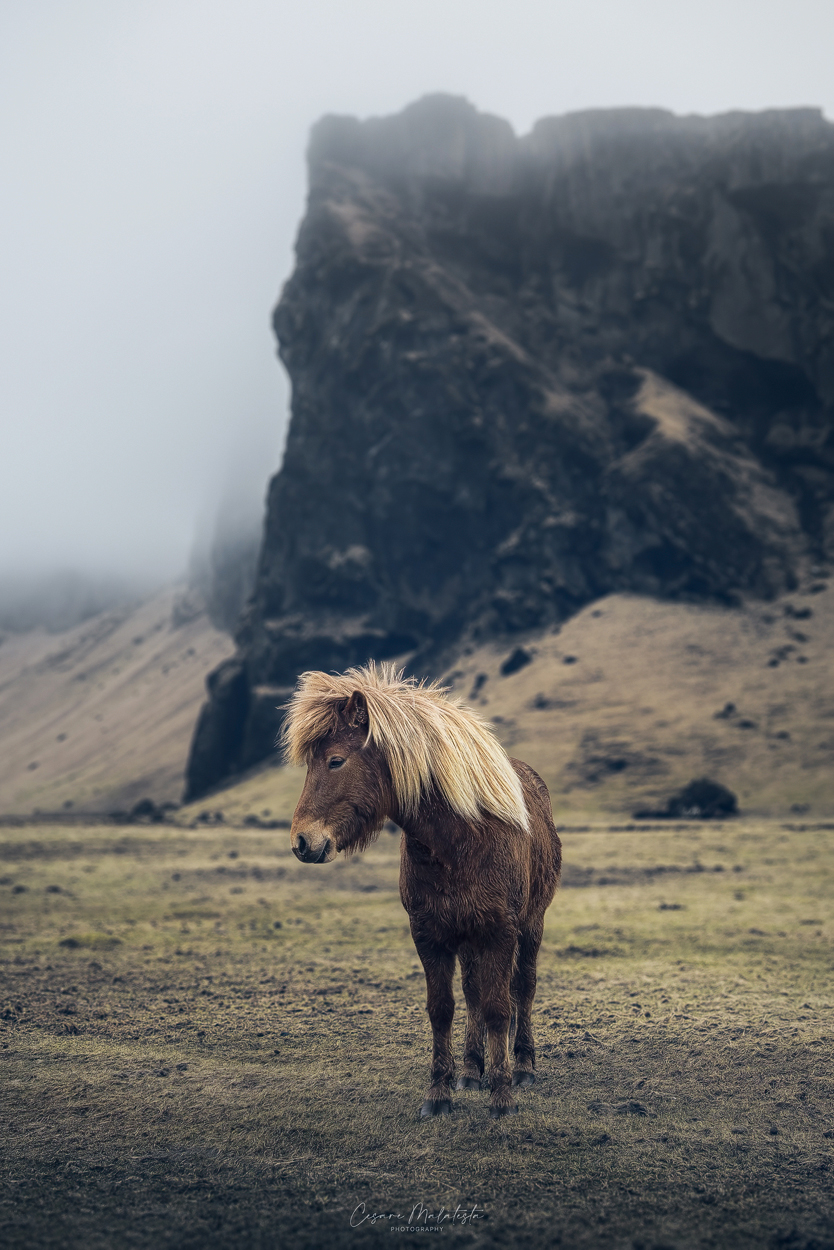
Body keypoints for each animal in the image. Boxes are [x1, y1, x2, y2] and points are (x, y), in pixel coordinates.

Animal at [282, 662, 562, 1119]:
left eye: (336, 761)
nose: (302, 842)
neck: (461, 840)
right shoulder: (430, 934)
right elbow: (442, 1009)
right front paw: (440, 1092)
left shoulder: (500, 932)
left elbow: (500, 1008)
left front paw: (502, 1097)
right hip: (466, 937)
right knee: (473, 993)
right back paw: (471, 1071)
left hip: (531, 924)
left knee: (523, 986)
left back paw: (522, 1067)